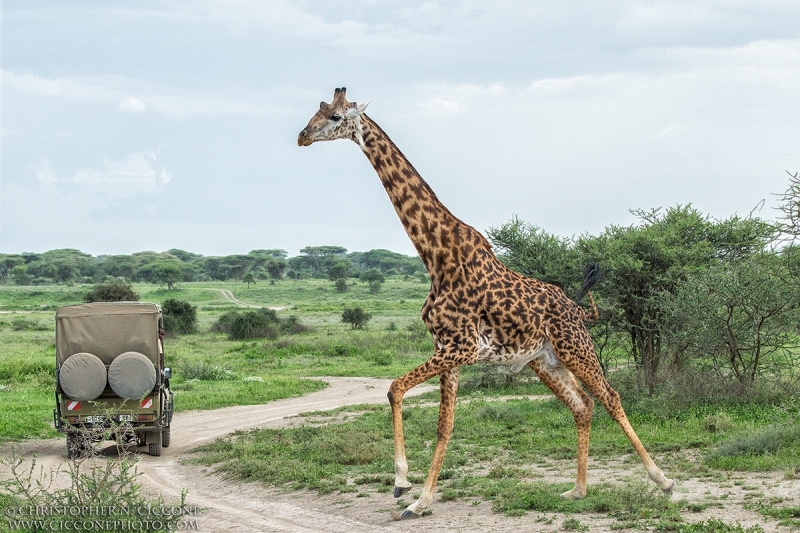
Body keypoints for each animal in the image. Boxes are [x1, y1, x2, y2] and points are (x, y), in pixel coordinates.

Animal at [296, 88, 672, 520]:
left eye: (335, 116)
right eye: (317, 111)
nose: (302, 136)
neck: (435, 256)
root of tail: (579, 309)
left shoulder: (462, 345)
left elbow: (394, 388)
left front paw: (404, 485)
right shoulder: (446, 346)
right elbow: (443, 423)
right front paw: (420, 500)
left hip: (576, 348)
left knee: (610, 397)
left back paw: (663, 481)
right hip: (545, 360)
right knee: (582, 406)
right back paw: (577, 490)